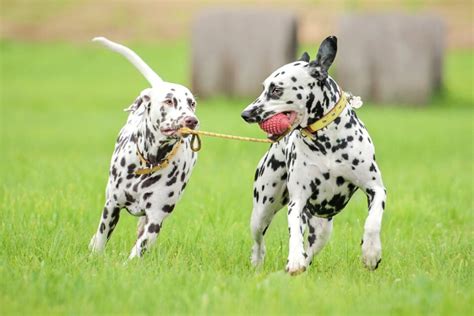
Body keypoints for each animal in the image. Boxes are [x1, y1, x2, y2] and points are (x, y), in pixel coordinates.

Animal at [89, 37, 198, 260]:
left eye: (192, 103)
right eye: (169, 101)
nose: (191, 120)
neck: (150, 162)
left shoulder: (155, 218)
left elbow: (138, 250)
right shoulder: (112, 207)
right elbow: (101, 238)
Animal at [241, 35, 386, 276]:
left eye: (276, 90)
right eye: (263, 88)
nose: (246, 114)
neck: (327, 142)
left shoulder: (376, 188)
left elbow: (373, 222)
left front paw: (371, 252)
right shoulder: (297, 202)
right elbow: (294, 233)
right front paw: (294, 259)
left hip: (322, 230)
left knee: (311, 250)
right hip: (262, 211)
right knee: (259, 242)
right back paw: (260, 262)